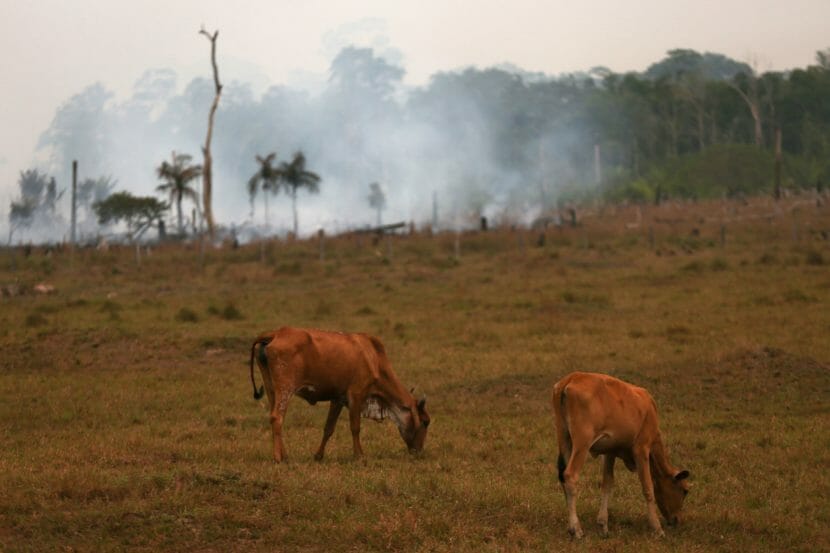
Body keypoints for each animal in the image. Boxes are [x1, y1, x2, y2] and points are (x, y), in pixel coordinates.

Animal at [249, 326, 432, 464]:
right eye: (425, 422)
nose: (419, 451)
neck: (374, 359)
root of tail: (276, 333)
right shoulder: (356, 395)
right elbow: (355, 427)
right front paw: (359, 456)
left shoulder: (337, 399)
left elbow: (328, 429)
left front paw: (318, 456)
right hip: (285, 388)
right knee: (277, 418)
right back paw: (278, 458)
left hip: (271, 388)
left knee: (275, 417)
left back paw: (285, 456)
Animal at [552, 370, 696, 536]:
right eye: (685, 491)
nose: (678, 520)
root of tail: (572, 378)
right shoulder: (641, 449)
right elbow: (648, 487)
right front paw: (657, 527)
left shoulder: (610, 451)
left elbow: (607, 483)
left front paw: (603, 523)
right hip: (582, 442)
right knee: (570, 475)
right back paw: (576, 528)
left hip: (564, 437)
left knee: (563, 477)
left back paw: (571, 525)